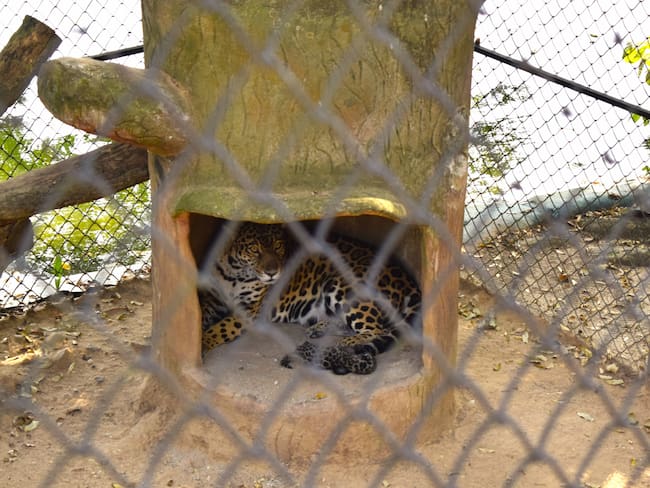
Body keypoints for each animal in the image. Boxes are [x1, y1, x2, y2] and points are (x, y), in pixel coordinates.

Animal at [198, 222, 421, 375]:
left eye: (278, 246)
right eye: (254, 249)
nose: (272, 273)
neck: (234, 273)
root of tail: (406, 279)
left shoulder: (250, 310)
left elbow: (221, 328)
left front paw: (205, 342)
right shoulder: (211, 300)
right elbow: (202, 317)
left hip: (341, 284)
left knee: (376, 330)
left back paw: (345, 344)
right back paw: (318, 329)